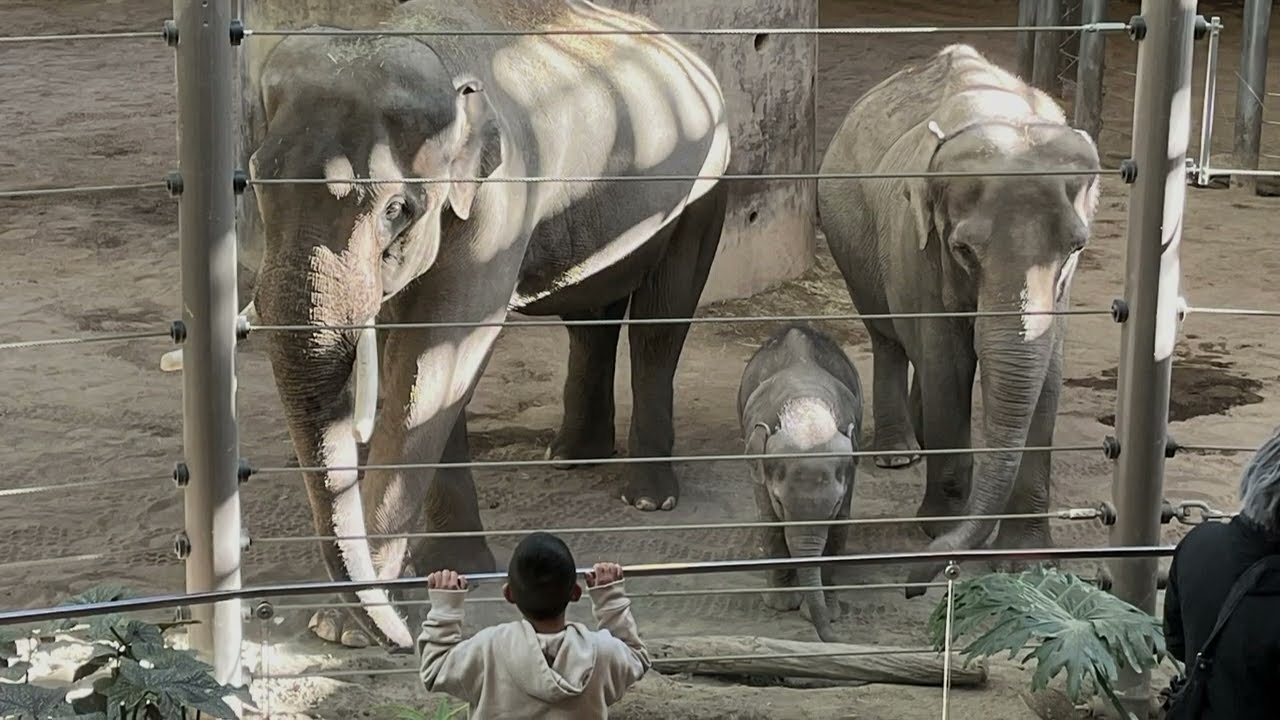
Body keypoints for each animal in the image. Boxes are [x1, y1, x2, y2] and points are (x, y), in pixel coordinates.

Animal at [165, 0, 731, 649]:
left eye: (396, 208)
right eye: (255, 181)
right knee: (590, 314)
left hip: (705, 183)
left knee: (660, 325)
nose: (402, 640)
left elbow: (432, 364)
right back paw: (570, 457)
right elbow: (415, 360)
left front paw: (345, 629)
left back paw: (648, 498)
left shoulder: (499, 202)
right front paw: (443, 577)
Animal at [737, 323, 864, 643]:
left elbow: (839, 531)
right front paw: (782, 606)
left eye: (833, 505)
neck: (806, 407)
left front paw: (829, 612)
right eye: (780, 502)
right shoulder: (758, 460)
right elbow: (769, 524)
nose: (835, 637)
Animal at [815, 44, 1101, 595]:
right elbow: (946, 364)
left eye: (1076, 248)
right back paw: (900, 453)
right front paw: (938, 529)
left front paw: (1027, 562)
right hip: (850, 235)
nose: (914, 584)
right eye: (964, 250)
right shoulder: (918, 245)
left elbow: (1047, 378)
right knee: (888, 337)